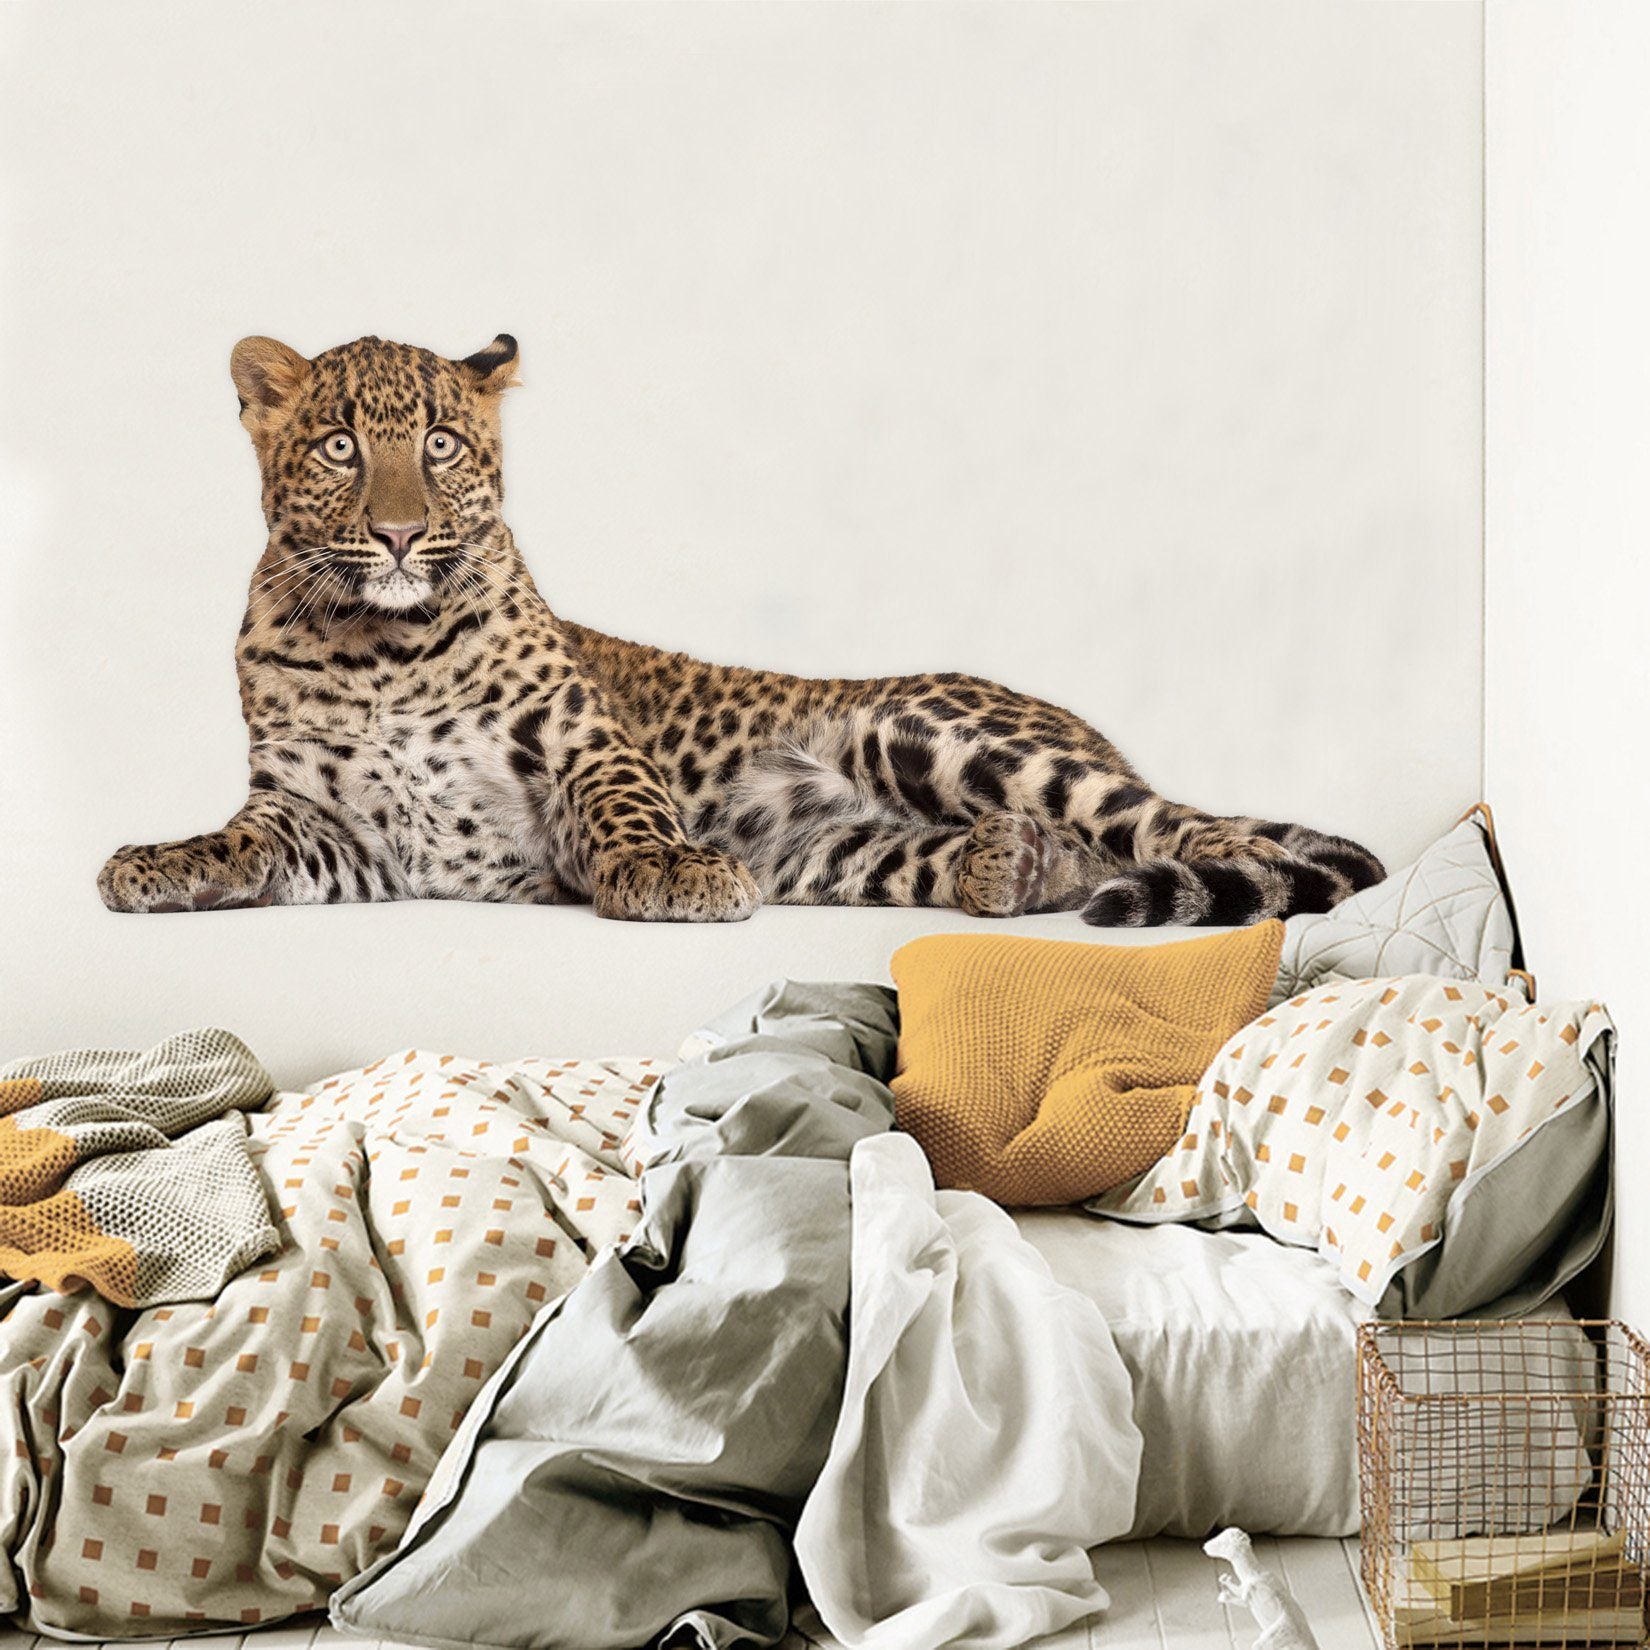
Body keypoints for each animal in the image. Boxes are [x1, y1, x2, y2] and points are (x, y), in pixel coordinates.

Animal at [98, 332, 1385, 928]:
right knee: (1034, 855)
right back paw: (1011, 865)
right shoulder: (328, 825)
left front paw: (667, 869)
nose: (405, 534)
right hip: (833, 850)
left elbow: (623, 814)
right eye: (339, 448)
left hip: (921, 728)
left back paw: (1218, 875)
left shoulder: (588, 749)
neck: (383, 650)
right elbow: (244, 842)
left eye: (442, 444)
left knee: (1193, 827)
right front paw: (158, 862)